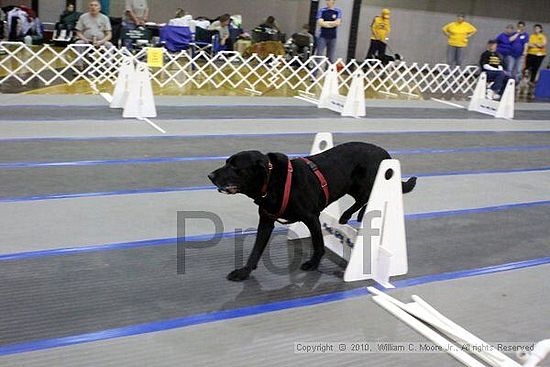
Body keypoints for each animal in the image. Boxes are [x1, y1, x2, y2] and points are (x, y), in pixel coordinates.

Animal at [209, 143, 416, 282]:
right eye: (227, 163)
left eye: (235, 167)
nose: (210, 176)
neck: (272, 182)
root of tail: (385, 153)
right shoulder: (266, 221)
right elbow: (256, 250)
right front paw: (244, 271)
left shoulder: (311, 217)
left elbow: (318, 244)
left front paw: (313, 264)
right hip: (352, 186)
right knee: (362, 199)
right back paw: (348, 215)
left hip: (371, 181)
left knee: (367, 198)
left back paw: (351, 215)